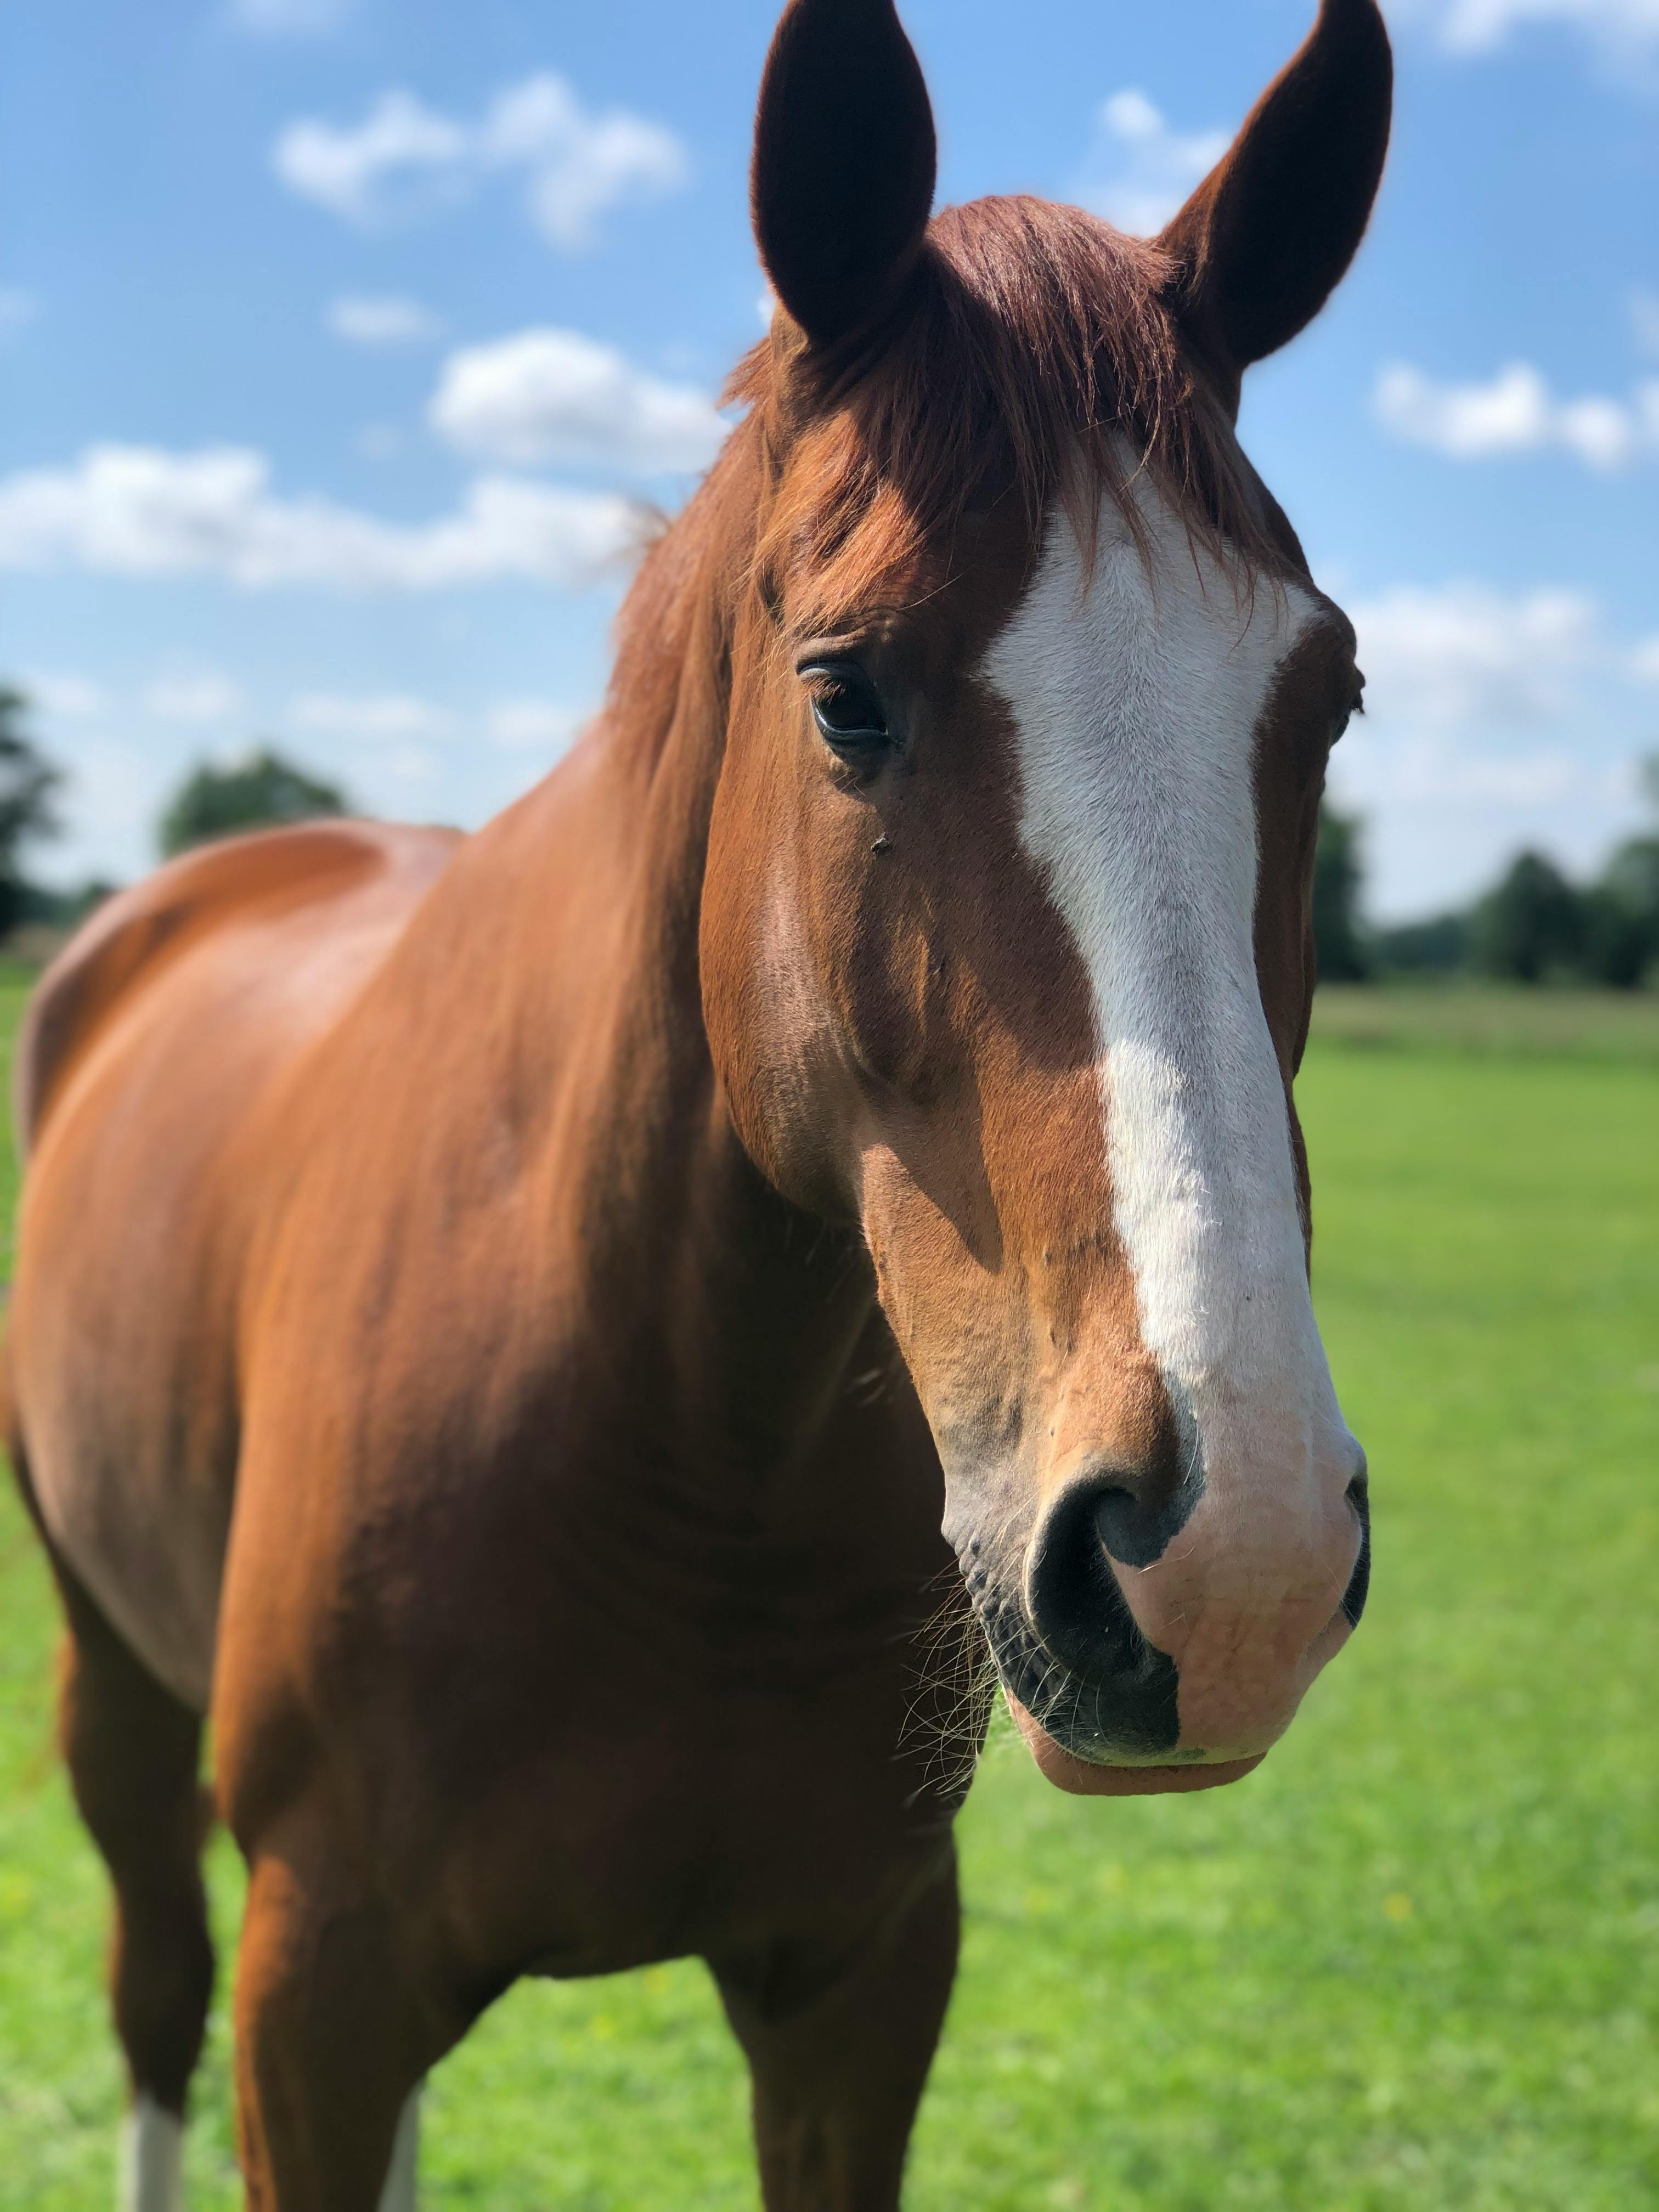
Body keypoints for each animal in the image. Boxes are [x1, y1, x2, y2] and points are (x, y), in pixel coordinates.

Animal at [7, 1, 1391, 2204]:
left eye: (1321, 700)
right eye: (842, 691)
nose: (1227, 1554)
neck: (663, 1438)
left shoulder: (858, 1979)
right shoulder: (316, 1989)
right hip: (114, 1703)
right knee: (150, 2001)